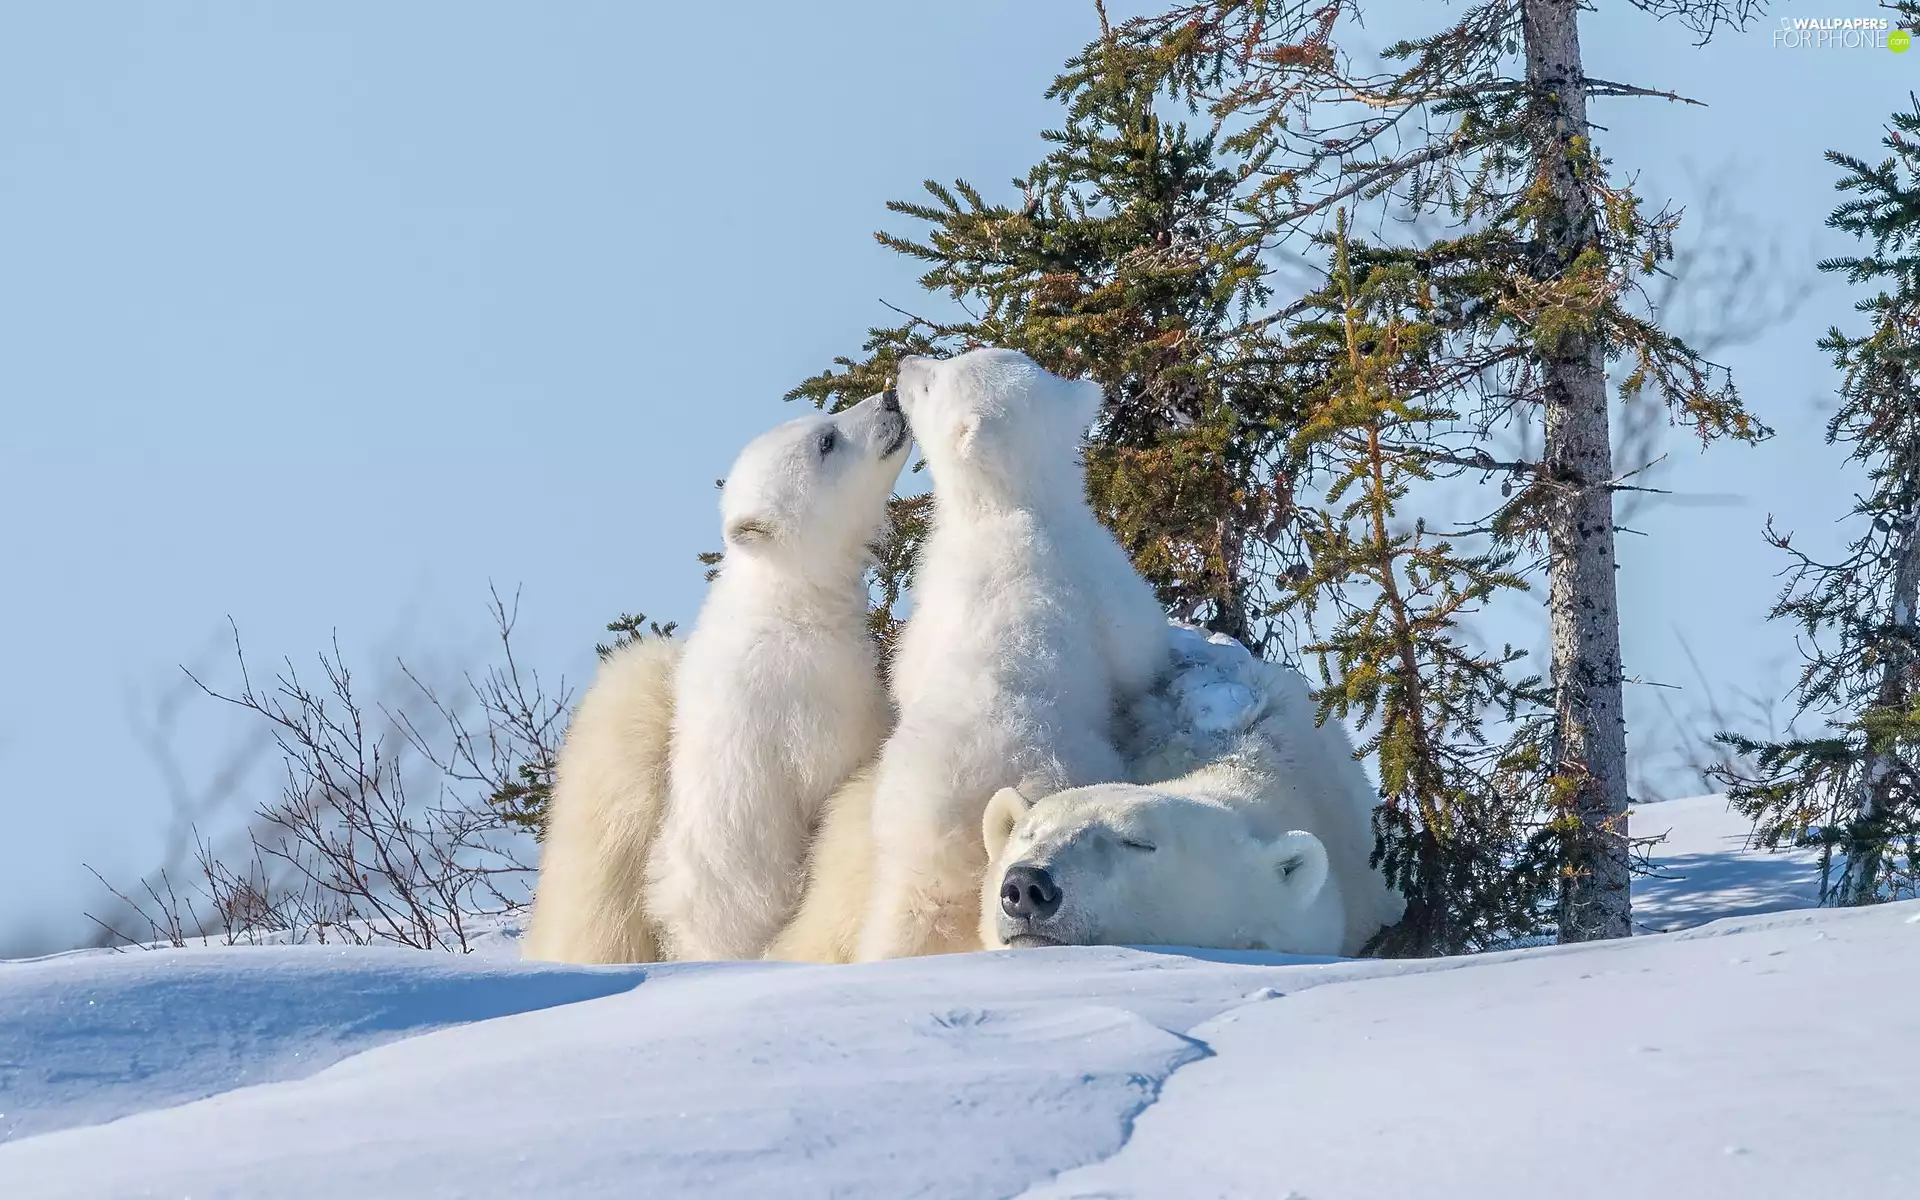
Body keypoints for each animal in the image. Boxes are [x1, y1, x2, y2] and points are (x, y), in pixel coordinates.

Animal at [524, 391, 908, 964]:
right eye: (826, 440)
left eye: (825, 422)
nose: (889, 398)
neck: (787, 596)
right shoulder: (810, 689)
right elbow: (841, 766)